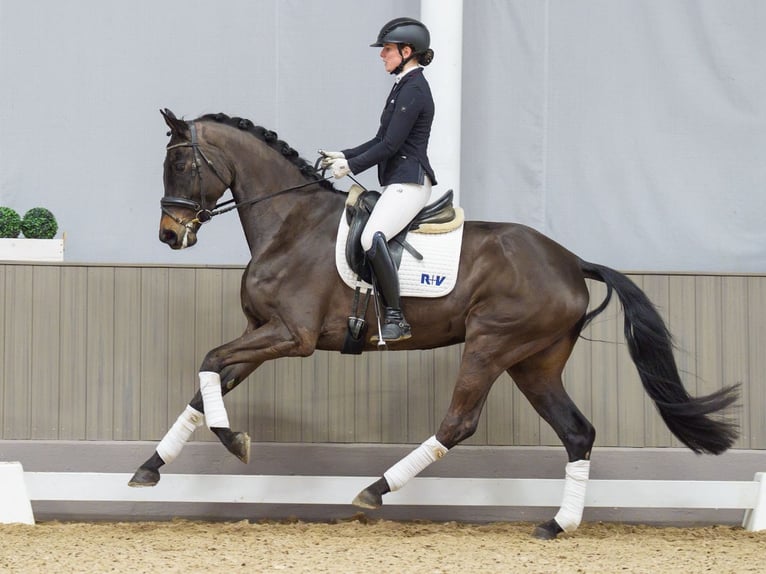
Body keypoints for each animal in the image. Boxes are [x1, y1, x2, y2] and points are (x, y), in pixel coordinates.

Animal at [129, 110, 740, 544]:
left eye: (180, 165)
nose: (169, 234)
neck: (289, 224)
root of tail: (571, 261)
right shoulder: (262, 332)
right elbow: (205, 386)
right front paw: (150, 469)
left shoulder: (292, 337)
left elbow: (208, 360)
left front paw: (234, 442)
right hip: (534, 362)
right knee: (577, 432)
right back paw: (556, 525)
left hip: (492, 345)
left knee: (459, 423)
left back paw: (375, 491)